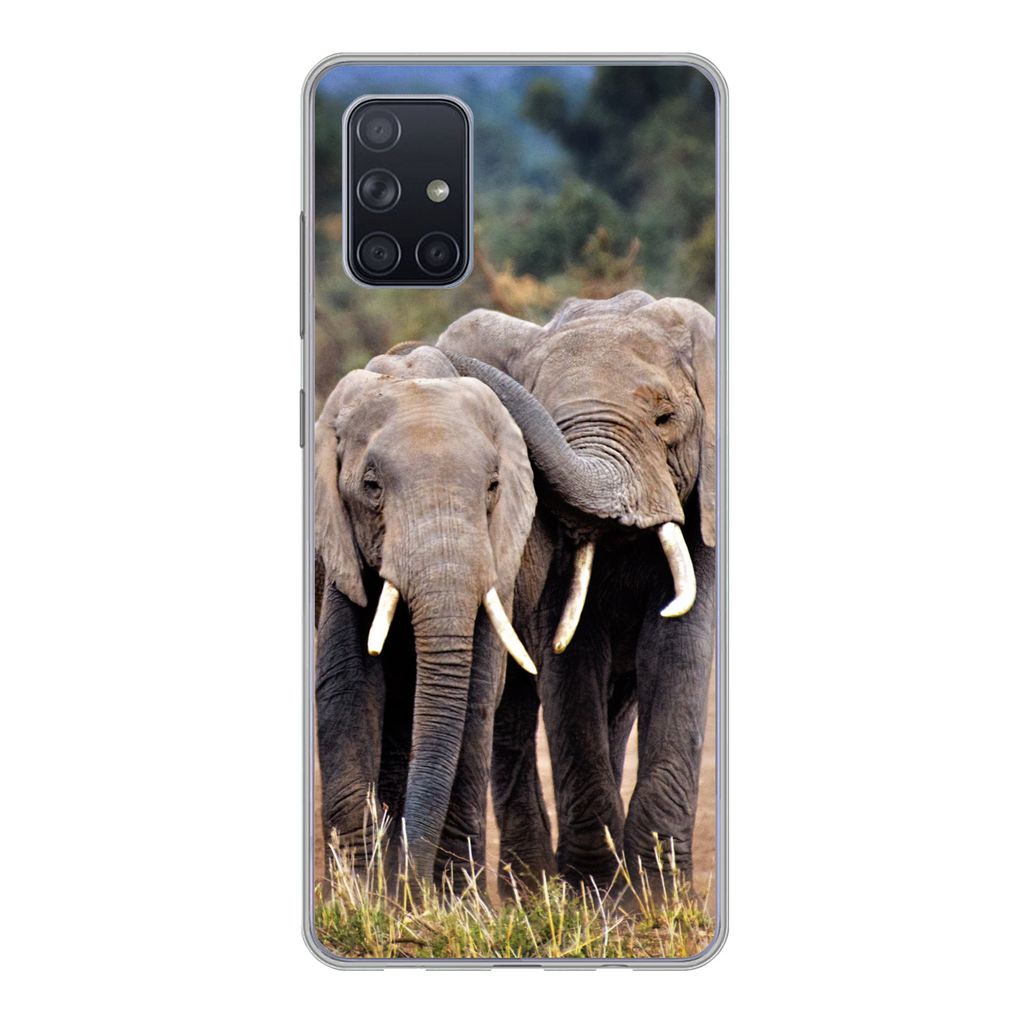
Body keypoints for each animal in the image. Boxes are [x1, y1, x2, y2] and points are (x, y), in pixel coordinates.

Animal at [313, 344, 538, 885]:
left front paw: (453, 902)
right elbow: (346, 687)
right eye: (372, 487)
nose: (412, 889)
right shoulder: (340, 553)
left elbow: (476, 695)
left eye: (493, 486)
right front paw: (356, 897)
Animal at [437, 289, 716, 889]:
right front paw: (594, 891)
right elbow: (571, 658)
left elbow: (678, 650)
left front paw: (654, 897)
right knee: (514, 713)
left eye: (666, 418)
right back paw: (531, 890)